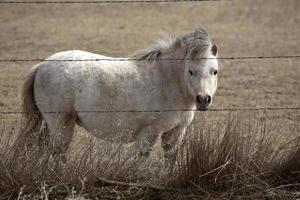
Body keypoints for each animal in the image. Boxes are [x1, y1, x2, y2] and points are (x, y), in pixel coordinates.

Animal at [21, 27, 218, 159]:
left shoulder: (175, 133)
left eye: (214, 71)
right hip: (61, 125)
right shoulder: (148, 133)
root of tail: (41, 65)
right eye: (190, 71)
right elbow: (139, 160)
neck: (167, 80)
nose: (203, 99)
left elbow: (171, 159)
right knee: (58, 153)